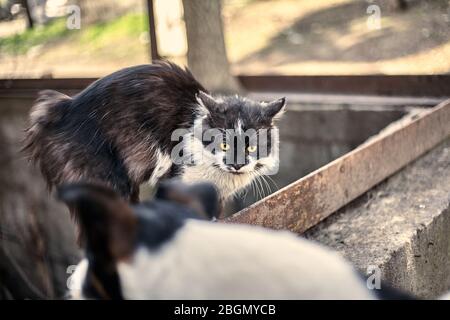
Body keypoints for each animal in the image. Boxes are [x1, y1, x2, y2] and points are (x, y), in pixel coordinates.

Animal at [24, 60, 284, 206]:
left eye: (252, 146)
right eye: (224, 145)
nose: (236, 164)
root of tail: (60, 107)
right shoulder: (175, 179)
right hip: (107, 179)